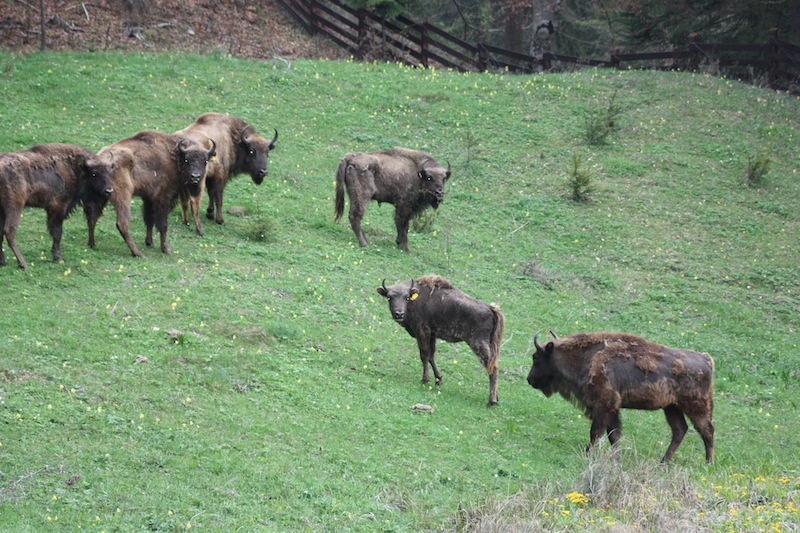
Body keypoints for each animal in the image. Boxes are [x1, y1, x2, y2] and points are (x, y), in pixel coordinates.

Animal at [0, 142, 114, 270]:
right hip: (15, 207)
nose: (108, 191)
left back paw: (3, 262)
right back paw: (23, 264)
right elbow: (57, 233)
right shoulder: (58, 209)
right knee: (9, 232)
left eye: (110, 172)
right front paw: (59, 258)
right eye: (94, 173)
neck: (74, 168)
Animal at [376, 276, 504, 406]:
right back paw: (497, 397)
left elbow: (424, 355)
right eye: (389, 297)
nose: (399, 314)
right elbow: (431, 356)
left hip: (478, 344)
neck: (415, 298)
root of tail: (491, 308)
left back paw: (491, 401)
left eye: (407, 297)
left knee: (492, 367)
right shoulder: (432, 335)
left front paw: (424, 379)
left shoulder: (422, 332)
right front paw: (438, 380)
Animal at [528, 332, 716, 462]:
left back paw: (708, 463)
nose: (529, 379)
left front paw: (588, 454)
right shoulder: (612, 409)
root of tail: (706, 359)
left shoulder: (603, 405)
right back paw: (663, 461)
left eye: (536, 357)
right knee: (680, 430)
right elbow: (613, 434)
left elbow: (596, 432)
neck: (587, 357)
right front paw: (616, 458)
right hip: (672, 407)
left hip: (696, 407)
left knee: (707, 431)